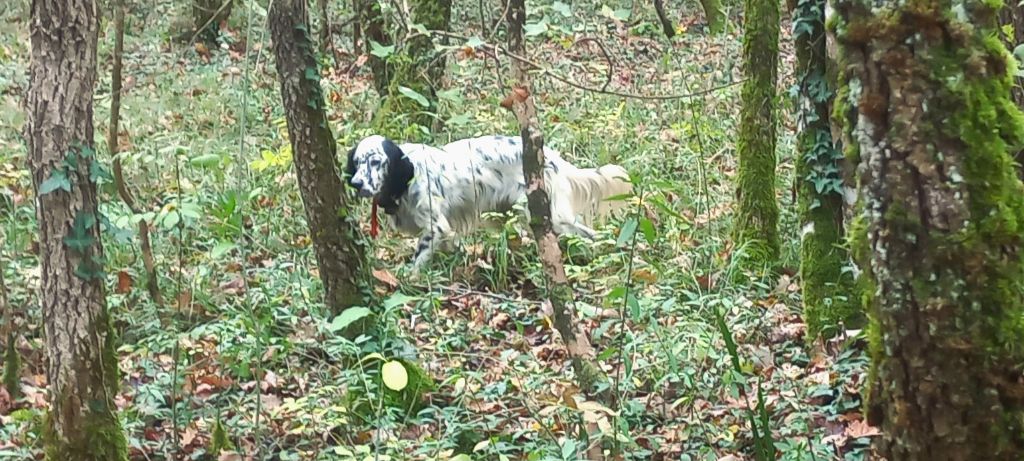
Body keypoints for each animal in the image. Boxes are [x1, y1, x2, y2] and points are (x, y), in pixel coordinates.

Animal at [346, 134, 630, 270]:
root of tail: (552, 158)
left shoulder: (436, 226)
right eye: (357, 162)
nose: (356, 184)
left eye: (376, 161)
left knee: (588, 234)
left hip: (547, 215)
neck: (409, 175)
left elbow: (418, 258)